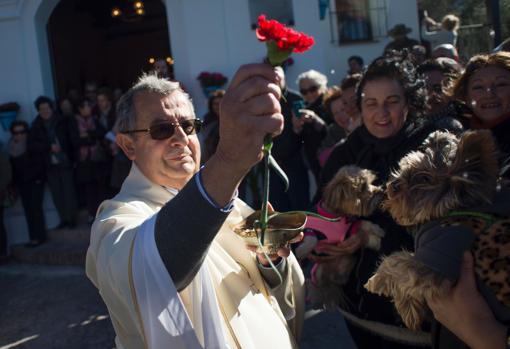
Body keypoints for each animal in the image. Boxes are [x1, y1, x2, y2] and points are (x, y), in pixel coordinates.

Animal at [296, 164, 384, 306]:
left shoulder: (350, 229)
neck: (336, 217)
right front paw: (302, 251)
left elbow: (364, 224)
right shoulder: (310, 228)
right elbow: (311, 239)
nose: (381, 191)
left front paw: (377, 233)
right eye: (362, 187)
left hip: (346, 260)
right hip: (319, 270)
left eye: (370, 183)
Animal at [366, 130, 510, 328]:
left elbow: (397, 261)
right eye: (405, 168)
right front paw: (409, 310)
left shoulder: (438, 260)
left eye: (425, 178)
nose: (393, 184)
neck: (446, 213)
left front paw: (376, 281)